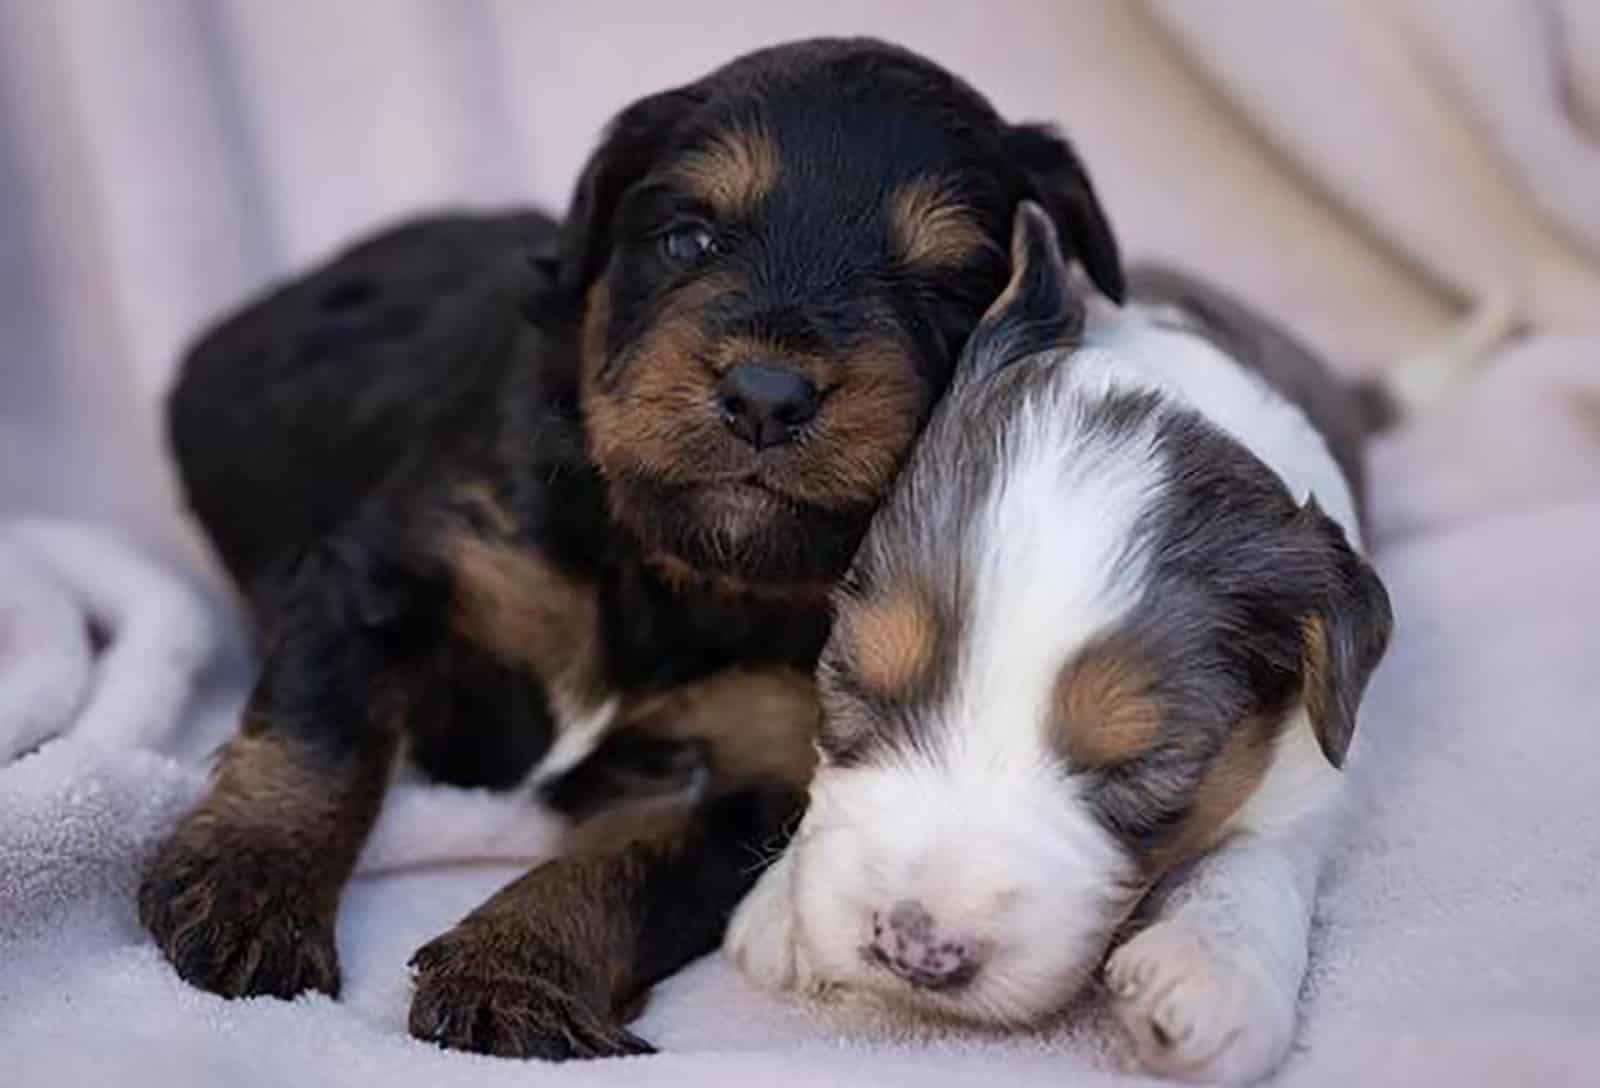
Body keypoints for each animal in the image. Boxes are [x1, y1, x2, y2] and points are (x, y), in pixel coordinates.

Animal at [144, 38, 1132, 1056]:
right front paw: (247, 895)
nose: (767, 396)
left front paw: (513, 977)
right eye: (690, 240)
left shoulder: (746, 774)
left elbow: (614, 873)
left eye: (950, 283)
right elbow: (319, 731)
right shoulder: (392, 572)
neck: (679, 572)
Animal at [726, 201, 1388, 1081]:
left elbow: (1259, 853)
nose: (916, 951)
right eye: (854, 679)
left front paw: (1207, 976)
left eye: (1139, 769)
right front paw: (778, 910)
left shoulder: (1313, 768)